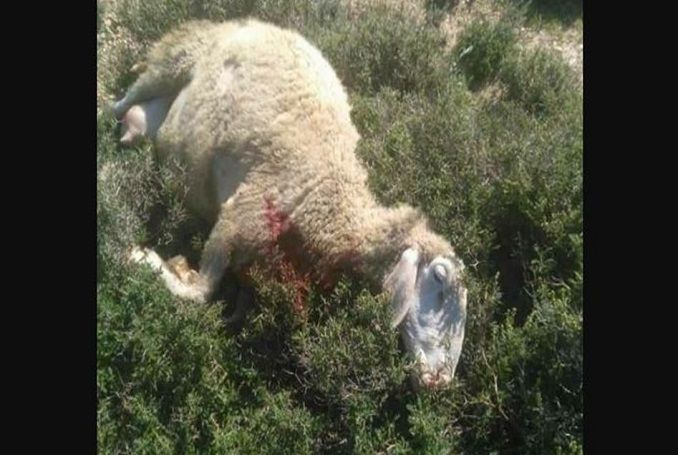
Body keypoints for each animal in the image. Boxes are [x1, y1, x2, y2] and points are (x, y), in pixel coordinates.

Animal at [114, 18, 468, 390]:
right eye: (439, 278)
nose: (441, 380)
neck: (330, 201)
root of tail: (254, 23)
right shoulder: (239, 215)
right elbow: (200, 292)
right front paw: (144, 258)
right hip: (172, 60)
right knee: (119, 103)